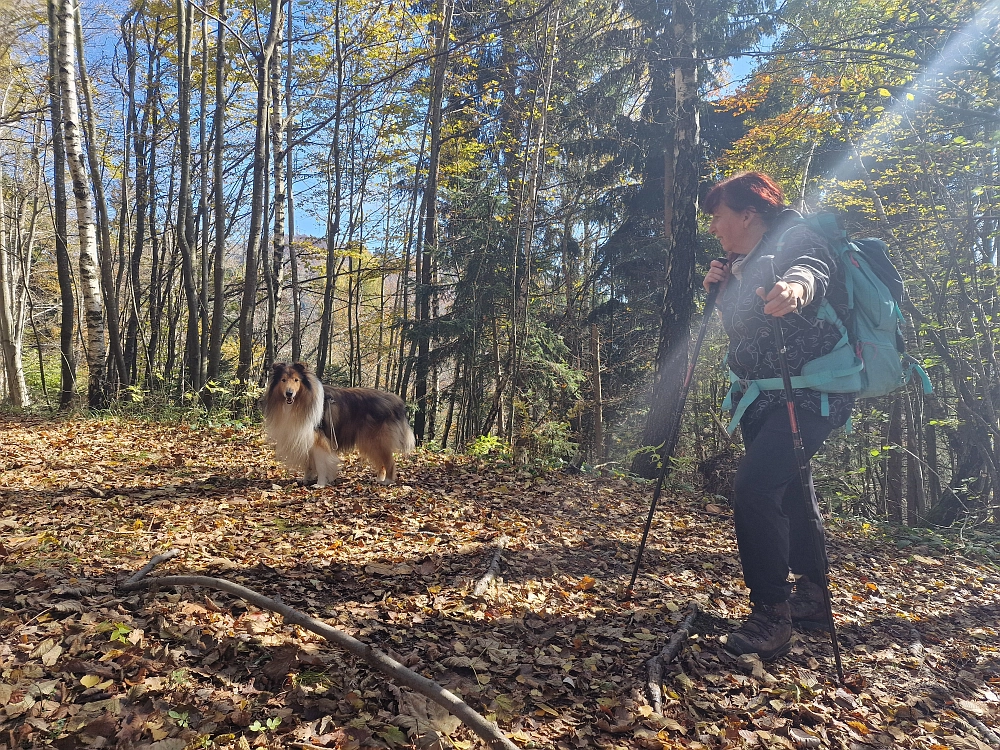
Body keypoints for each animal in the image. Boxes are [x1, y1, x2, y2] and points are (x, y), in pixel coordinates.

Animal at [264, 362, 416, 488]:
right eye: (283, 380)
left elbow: (320, 464)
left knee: (389, 462)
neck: (302, 399)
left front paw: (320, 484)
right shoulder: (305, 437)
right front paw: (306, 479)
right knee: (381, 462)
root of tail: (396, 401)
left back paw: (388, 481)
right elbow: (309, 464)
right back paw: (379, 478)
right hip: (370, 442)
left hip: (379, 440)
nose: (289, 394)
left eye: (296, 380)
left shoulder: (319, 441)